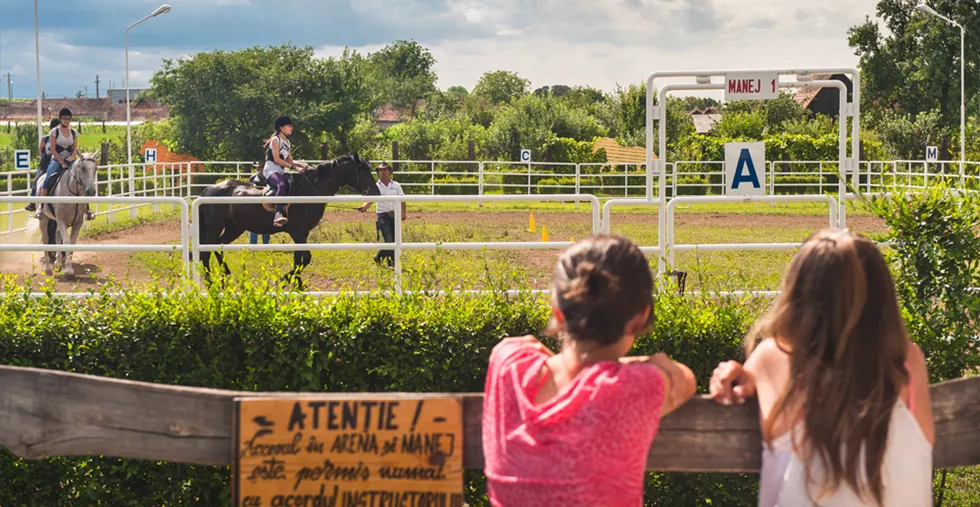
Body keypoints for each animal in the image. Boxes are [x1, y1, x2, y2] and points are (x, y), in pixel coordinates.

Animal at [197, 153, 380, 288]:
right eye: (363, 171)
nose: (376, 192)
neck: (308, 192)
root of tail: (210, 189)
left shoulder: (302, 233)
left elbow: (298, 259)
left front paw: (297, 284)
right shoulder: (297, 232)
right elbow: (306, 258)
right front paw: (283, 280)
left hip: (234, 228)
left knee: (218, 246)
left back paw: (225, 276)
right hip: (215, 226)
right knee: (206, 251)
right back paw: (210, 282)